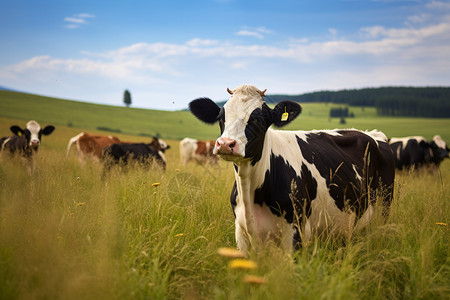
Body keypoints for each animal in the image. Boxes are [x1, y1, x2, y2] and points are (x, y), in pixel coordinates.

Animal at [188, 84, 396, 253]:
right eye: (221, 117)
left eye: (258, 118)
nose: (225, 143)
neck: (250, 193)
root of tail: (373, 134)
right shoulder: (242, 233)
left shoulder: (296, 232)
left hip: (382, 209)